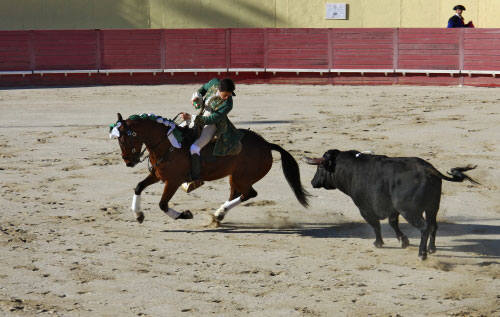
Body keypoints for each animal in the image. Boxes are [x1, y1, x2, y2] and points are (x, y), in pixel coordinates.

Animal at [111, 112, 310, 223]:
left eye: (124, 139)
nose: (129, 162)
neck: (167, 144)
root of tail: (266, 144)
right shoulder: (158, 175)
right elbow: (138, 187)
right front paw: (138, 215)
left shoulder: (173, 181)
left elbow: (162, 204)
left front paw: (184, 215)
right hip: (234, 177)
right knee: (236, 195)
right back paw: (219, 215)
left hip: (242, 178)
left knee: (249, 194)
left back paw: (220, 213)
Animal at [302, 149, 478, 260]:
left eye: (320, 166)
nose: (312, 182)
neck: (351, 169)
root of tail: (429, 169)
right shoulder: (392, 209)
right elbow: (393, 223)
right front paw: (404, 241)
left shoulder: (365, 208)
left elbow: (375, 225)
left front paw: (378, 243)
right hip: (432, 207)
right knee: (433, 226)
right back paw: (431, 249)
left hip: (410, 211)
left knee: (424, 227)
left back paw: (422, 254)